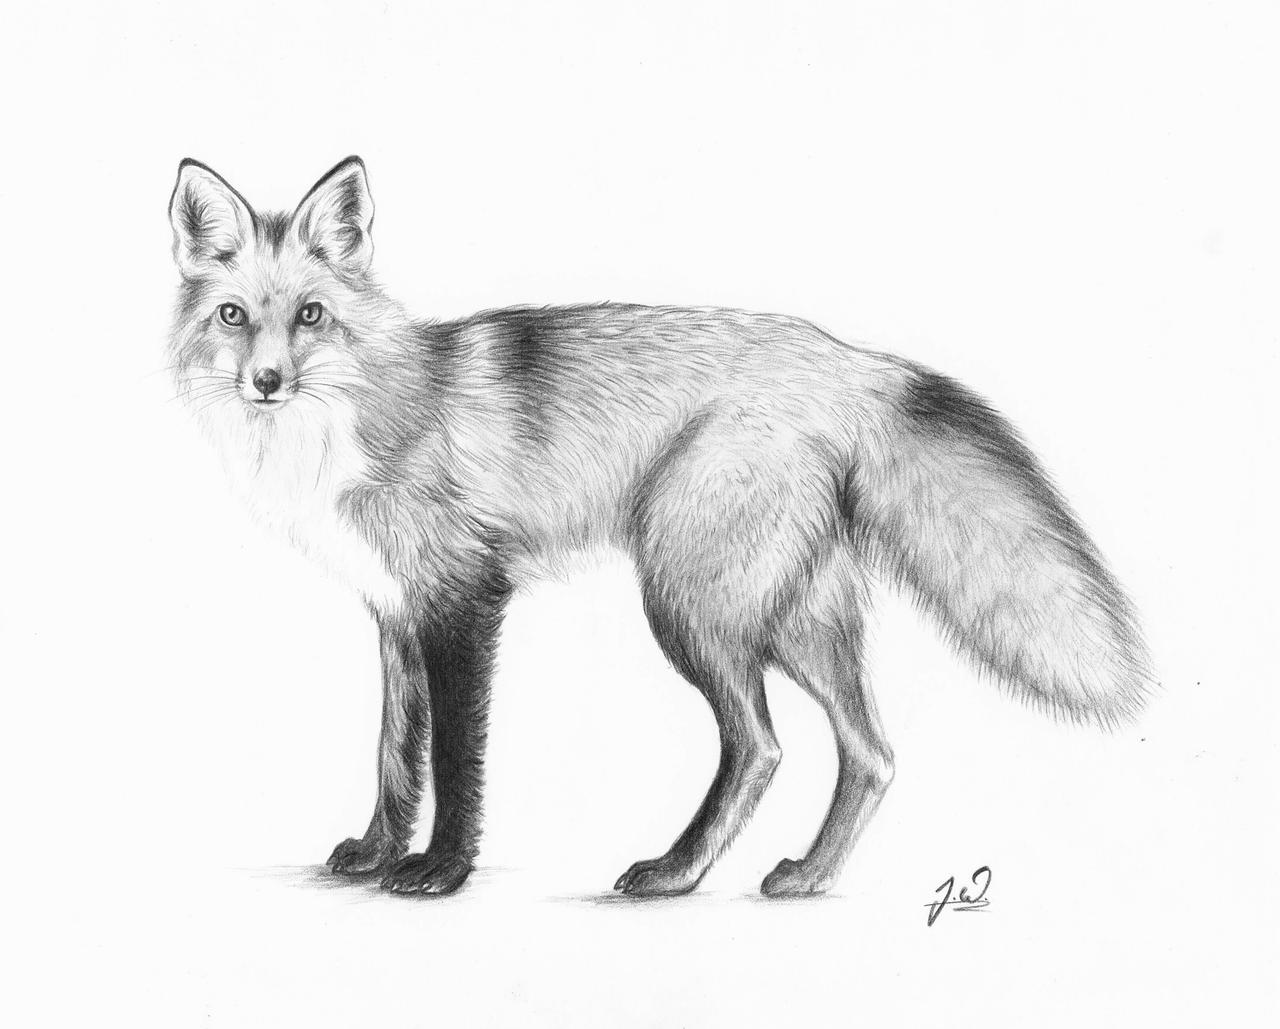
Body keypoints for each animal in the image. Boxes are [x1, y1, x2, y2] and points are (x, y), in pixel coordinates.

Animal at [167, 156, 1150, 898]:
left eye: (311, 315)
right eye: (233, 316)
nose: (265, 382)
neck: (350, 422)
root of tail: (852, 362)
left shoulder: (466, 601)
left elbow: (453, 760)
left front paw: (440, 870)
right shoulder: (398, 613)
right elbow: (394, 756)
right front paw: (377, 853)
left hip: (690, 604)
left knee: (761, 746)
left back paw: (677, 873)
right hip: (794, 614)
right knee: (871, 752)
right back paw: (806, 878)